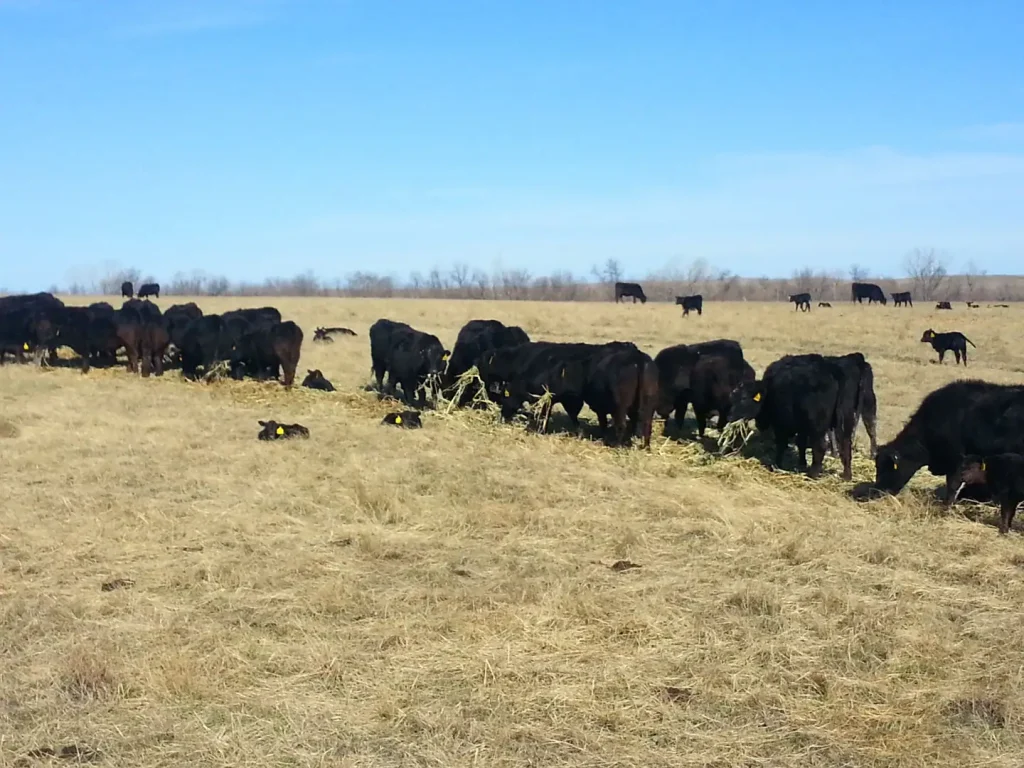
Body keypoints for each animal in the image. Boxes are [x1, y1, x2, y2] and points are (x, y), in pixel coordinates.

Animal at [726, 353, 865, 480]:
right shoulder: (801, 426)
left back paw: (812, 474)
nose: (730, 417)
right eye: (732, 397)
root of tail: (834, 370)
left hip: (818, 426)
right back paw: (846, 475)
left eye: (744, 398)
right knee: (846, 445)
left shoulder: (781, 424)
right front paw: (801, 463)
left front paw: (777, 464)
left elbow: (782, 444)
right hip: (845, 418)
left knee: (820, 447)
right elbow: (800, 443)